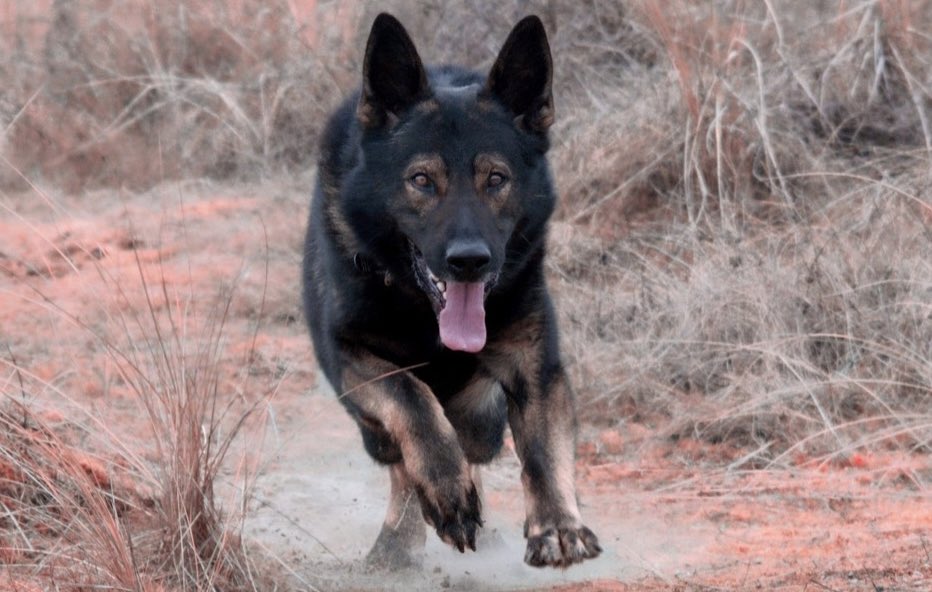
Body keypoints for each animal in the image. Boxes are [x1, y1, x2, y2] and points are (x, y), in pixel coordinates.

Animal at [302, 12, 600, 568]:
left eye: (496, 179)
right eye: (422, 180)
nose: (469, 261)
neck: (426, 316)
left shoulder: (535, 366)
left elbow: (543, 449)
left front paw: (557, 525)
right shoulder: (350, 355)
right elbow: (411, 399)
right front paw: (445, 490)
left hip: (482, 418)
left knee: (473, 444)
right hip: (371, 428)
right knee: (399, 458)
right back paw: (401, 541)